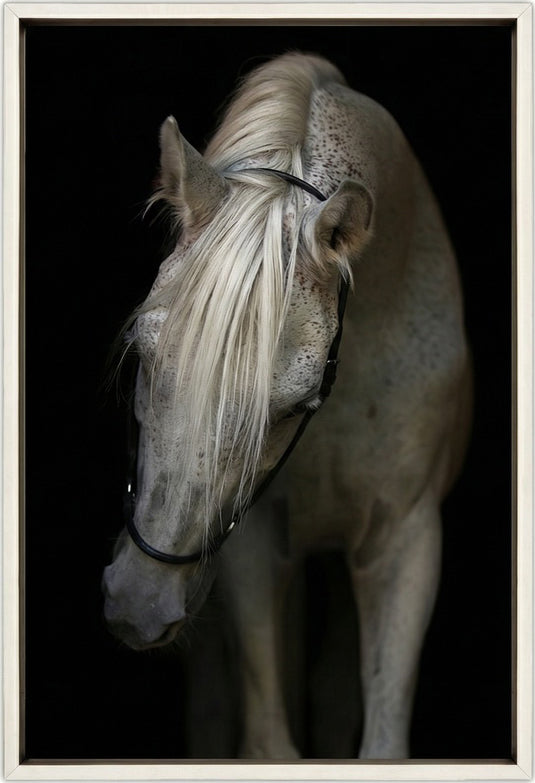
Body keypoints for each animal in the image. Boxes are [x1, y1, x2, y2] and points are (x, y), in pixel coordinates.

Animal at [102, 52, 471, 760]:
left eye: (297, 403)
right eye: (142, 354)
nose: (138, 602)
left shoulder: (406, 540)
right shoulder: (253, 543)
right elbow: (268, 738)